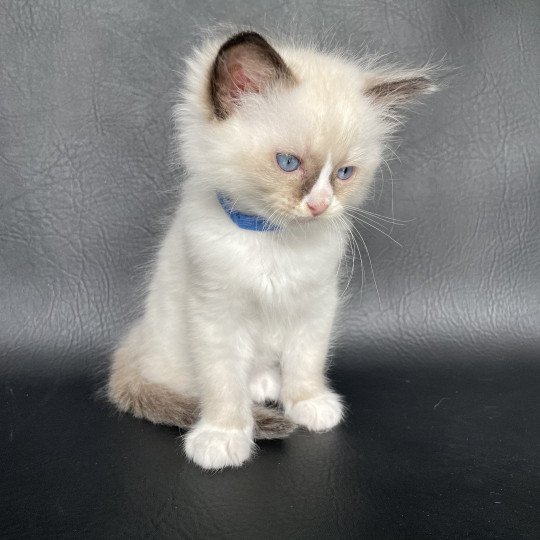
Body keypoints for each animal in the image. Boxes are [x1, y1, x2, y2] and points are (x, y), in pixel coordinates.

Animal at [107, 28, 436, 468]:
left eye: (344, 173)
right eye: (287, 163)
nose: (319, 205)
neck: (272, 238)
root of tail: (136, 339)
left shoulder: (315, 304)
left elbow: (306, 362)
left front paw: (310, 405)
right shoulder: (216, 314)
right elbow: (223, 382)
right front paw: (223, 437)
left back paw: (264, 385)